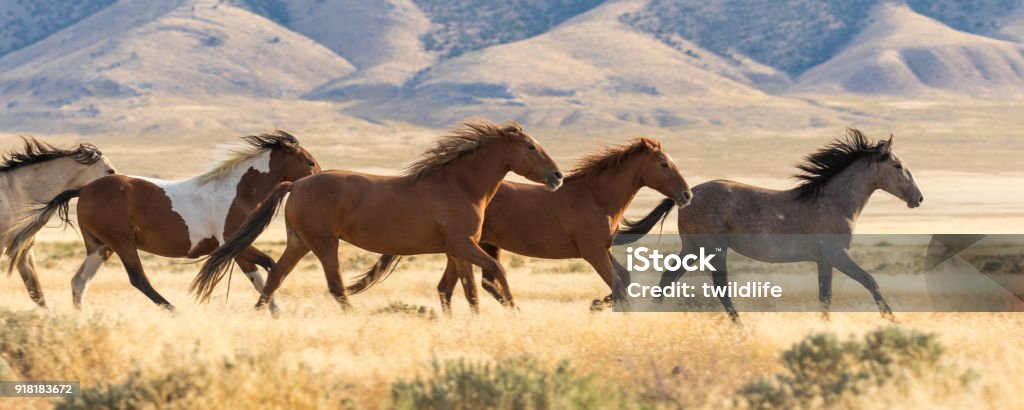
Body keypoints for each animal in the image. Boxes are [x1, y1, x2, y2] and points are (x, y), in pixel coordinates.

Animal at [192, 119, 561, 313]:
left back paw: (263, 316)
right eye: (531, 147)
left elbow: (462, 288)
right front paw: (513, 311)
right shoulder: (464, 245)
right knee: (336, 285)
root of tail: (295, 184)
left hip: (299, 243)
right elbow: (493, 271)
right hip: (324, 243)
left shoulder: (457, 250)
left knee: (275, 278)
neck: (460, 185)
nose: (557, 177)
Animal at [352, 137, 696, 311]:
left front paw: (599, 303)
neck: (597, 196)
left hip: (466, 247)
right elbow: (619, 281)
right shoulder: (592, 251)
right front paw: (602, 304)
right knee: (478, 283)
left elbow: (623, 277)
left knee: (456, 286)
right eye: (664, 164)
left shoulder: (601, 249)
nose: (686, 194)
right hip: (472, 246)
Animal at [610, 129, 925, 325]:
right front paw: (893, 319)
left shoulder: (824, 260)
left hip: (693, 248)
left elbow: (825, 297)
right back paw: (740, 327)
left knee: (668, 277)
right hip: (713, 249)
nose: (918, 198)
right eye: (898, 166)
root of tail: (687, 195)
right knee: (720, 289)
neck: (834, 201)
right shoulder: (838, 255)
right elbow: (870, 281)